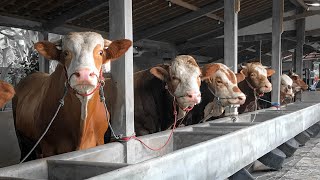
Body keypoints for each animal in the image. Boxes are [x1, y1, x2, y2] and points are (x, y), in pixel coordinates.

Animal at [13, 31, 132, 160]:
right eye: (66, 53)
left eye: (100, 52)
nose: (84, 74)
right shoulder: (48, 147)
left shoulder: (99, 140)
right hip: (21, 139)